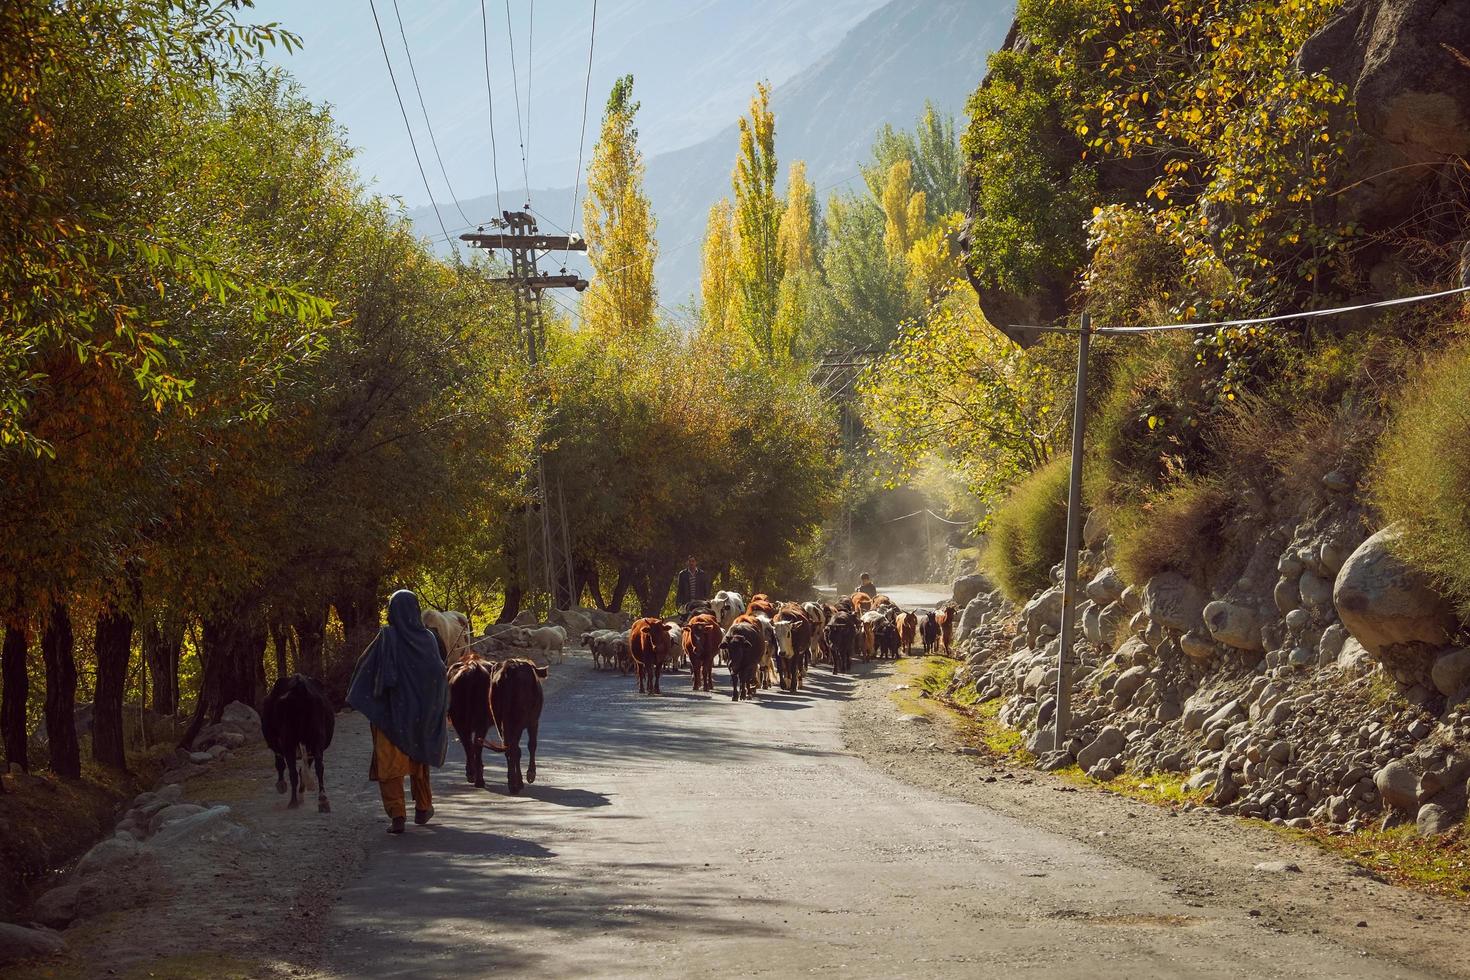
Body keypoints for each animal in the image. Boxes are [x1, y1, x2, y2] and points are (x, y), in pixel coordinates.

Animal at [264, 675, 336, 811]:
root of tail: (299, 687)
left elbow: (282, 764)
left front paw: (282, 785)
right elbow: (305, 769)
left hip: (289, 740)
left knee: (293, 772)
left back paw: (293, 802)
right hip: (317, 737)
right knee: (319, 766)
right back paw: (323, 801)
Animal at [490, 658, 549, 799]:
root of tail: (509, 669)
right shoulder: (533, 721)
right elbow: (532, 745)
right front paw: (531, 774)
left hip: (499, 719)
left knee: (509, 748)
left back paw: (513, 782)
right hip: (518, 720)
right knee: (514, 748)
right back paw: (514, 784)